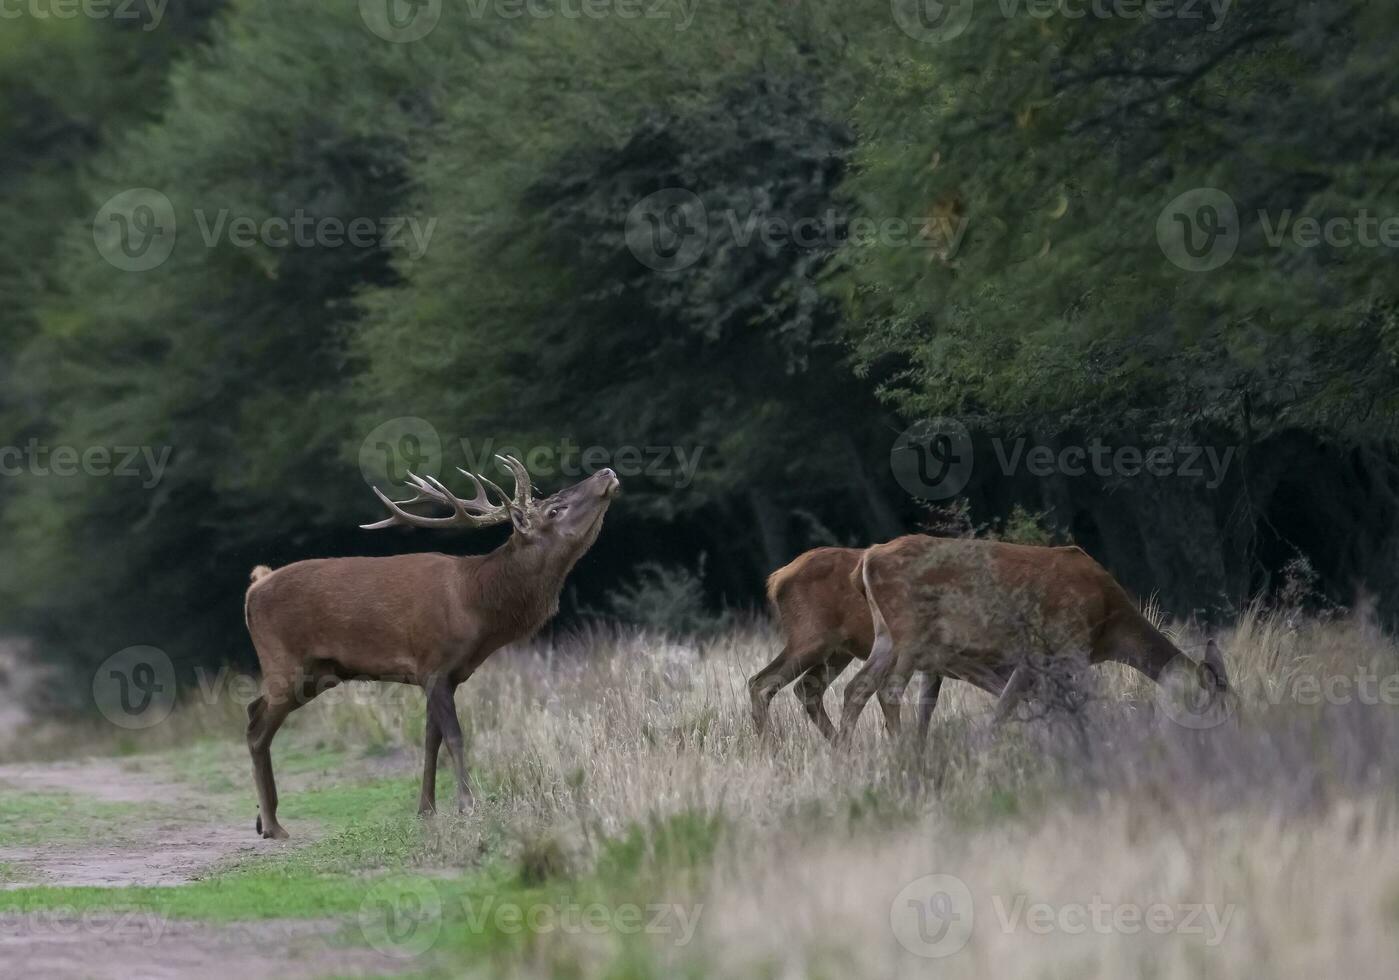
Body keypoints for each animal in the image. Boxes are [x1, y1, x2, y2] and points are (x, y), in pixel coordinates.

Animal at [240, 455, 618, 838]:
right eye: (555, 509)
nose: (606, 473)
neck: (476, 605)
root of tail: (255, 587)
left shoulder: (447, 674)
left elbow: (430, 739)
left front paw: (427, 809)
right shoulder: (434, 663)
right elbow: (455, 736)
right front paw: (467, 805)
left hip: (317, 674)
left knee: (254, 711)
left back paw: (263, 818)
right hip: (283, 662)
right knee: (256, 729)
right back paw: (272, 825)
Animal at [749, 550, 945, 743]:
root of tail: (776, 578)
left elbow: (927, 706)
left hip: (838, 652)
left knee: (806, 687)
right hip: (811, 637)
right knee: (760, 683)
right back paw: (769, 746)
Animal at [833, 534, 1231, 743]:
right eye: (1216, 705)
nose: (1228, 736)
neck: (1109, 625)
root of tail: (866, 562)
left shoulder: (1040, 658)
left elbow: (1014, 706)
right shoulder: (1067, 643)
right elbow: (1079, 702)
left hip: (886, 636)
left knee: (857, 687)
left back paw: (846, 753)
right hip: (910, 632)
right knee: (887, 689)